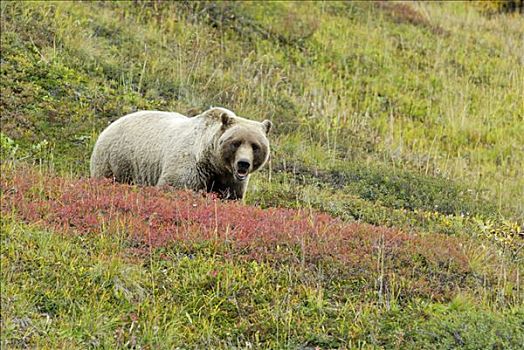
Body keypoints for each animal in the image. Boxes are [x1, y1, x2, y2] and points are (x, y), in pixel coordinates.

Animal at [89, 106, 272, 200]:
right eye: (235, 142)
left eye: (255, 146)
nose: (243, 163)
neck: (212, 162)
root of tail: (110, 125)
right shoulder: (190, 168)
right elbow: (174, 187)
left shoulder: (229, 181)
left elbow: (230, 197)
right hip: (116, 160)